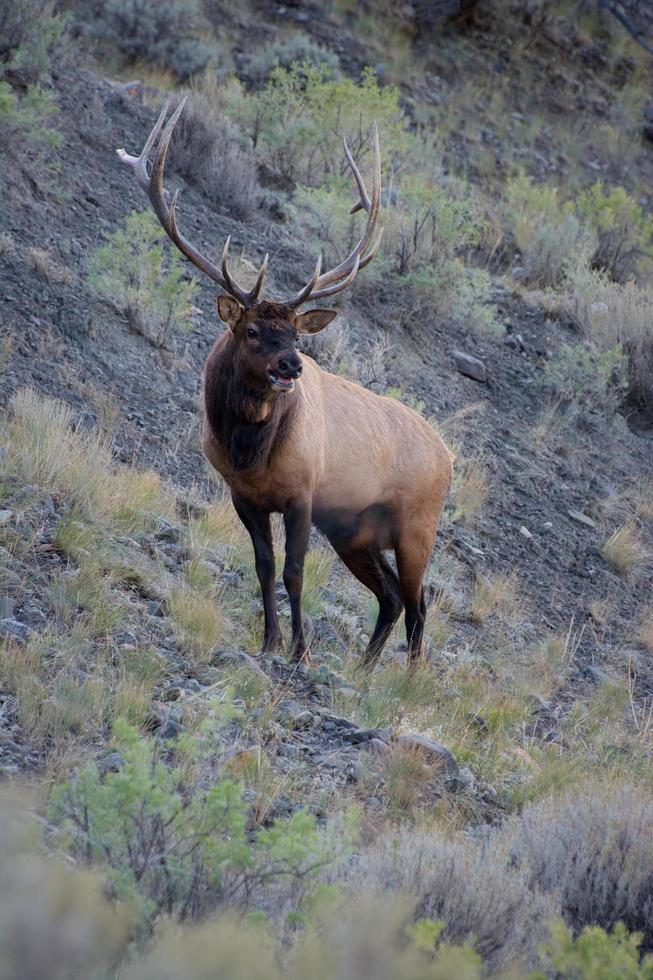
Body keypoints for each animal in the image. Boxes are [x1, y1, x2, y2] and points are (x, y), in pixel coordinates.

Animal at [117, 99, 450, 668]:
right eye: (252, 331)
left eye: (296, 333)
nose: (291, 366)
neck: (249, 449)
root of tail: (449, 456)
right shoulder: (242, 496)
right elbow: (265, 566)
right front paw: (270, 640)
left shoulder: (303, 494)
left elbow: (295, 572)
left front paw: (300, 650)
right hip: (354, 529)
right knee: (389, 596)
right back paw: (365, 669)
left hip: (416, 526)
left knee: (418, 602)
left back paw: (407, 677)